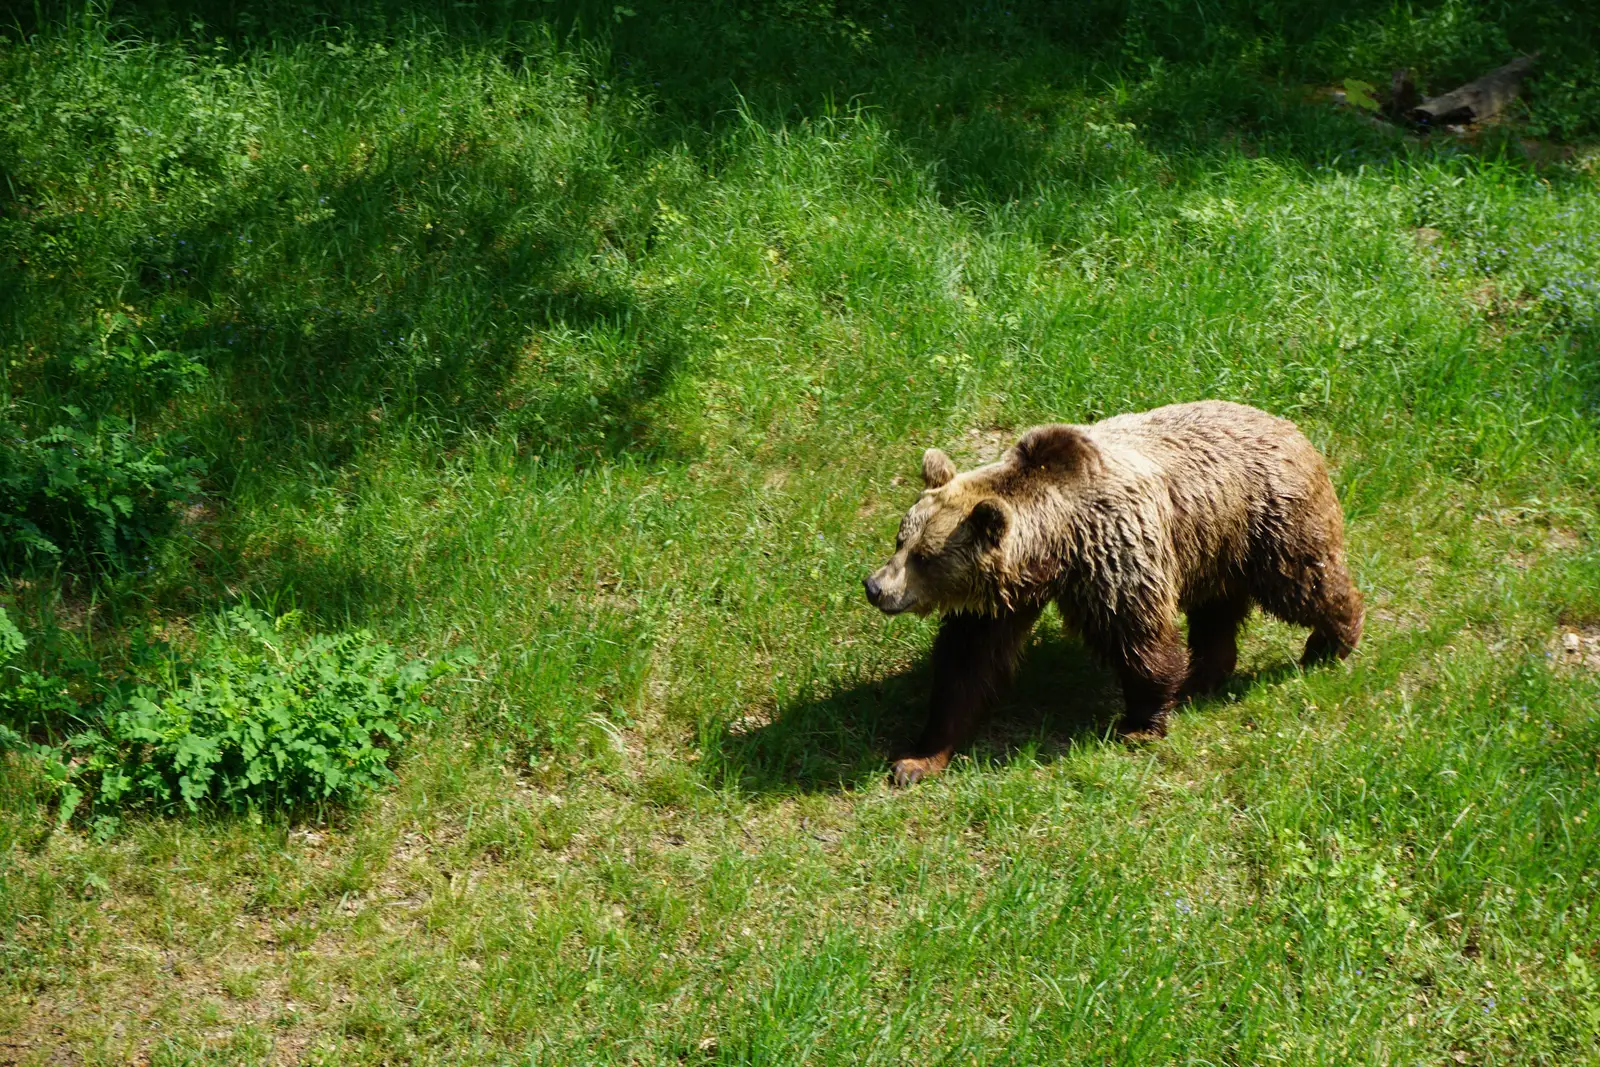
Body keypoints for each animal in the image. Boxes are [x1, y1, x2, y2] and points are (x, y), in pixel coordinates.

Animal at [864, 400, 1363, 786]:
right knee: (1217, 612)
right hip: (1218, 545)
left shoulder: (1114, 552)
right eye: (900, 539)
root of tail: (1291, 427)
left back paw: (1331, 642)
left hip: (1271, 520)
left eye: (924, 557)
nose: (875, 587)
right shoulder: (1000, 600)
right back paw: (1203, 676)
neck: (1055, 549)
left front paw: (1140, 724)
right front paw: (917, 758)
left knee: (1304, 583)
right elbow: (967, 664)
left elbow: (1139, 639)